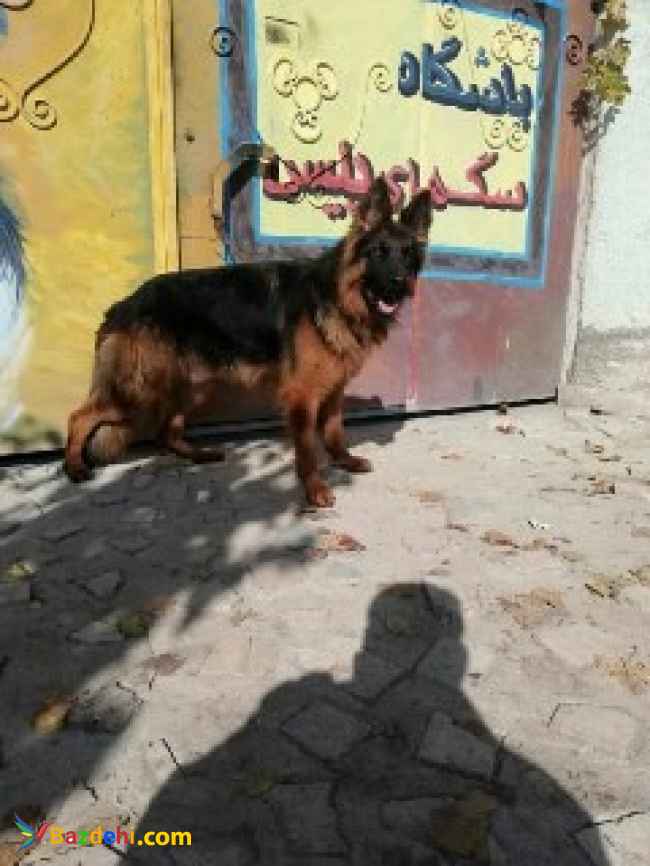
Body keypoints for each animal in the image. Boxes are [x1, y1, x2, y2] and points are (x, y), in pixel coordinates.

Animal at [64, 177, 432, 507]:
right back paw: (74, 467)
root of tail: (125, 303)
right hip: (142, 387)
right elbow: (309, 450)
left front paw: (345, 461)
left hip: (189, 386)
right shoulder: (302, 396)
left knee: (166, 430)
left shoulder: (333, 389)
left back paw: (199, 454)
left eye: (407, 254)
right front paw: (315, 490)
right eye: (379, 253)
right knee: (79, 416)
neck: (337, 296)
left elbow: (334, 432)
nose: (399, 284)